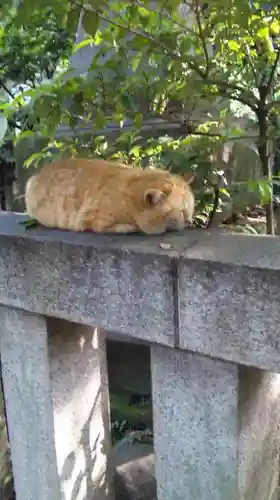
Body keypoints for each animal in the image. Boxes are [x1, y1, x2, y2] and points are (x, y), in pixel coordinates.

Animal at [24, 157, 195, 235]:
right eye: (182, 212)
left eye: (191, 210)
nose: (190, 221)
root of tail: (38, 173)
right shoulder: (96, 222)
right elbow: (123, 228)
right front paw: (131, 227)